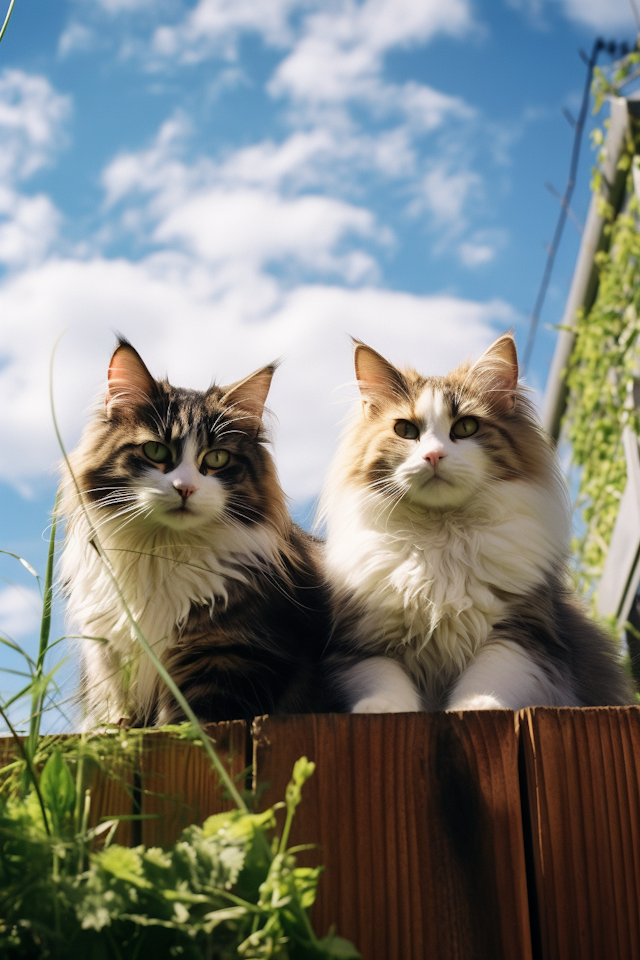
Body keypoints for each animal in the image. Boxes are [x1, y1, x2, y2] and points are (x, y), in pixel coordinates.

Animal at [60, 340, 332, 728]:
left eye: (216, 458)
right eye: (155, 450)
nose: (185, 488)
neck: (161, 551)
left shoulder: (229, 653)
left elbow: (194, 721)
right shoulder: (108, 652)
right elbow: (114, 714)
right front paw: (113, 729)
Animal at [320, 334, 636, 708]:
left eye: (466, 427)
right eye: (406, 430)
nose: (433, 455)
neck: (441, 533)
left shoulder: (524, 631)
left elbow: (488, 676)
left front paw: (476, 707)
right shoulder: (360, 641)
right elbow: (386, 682)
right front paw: (381, 710)